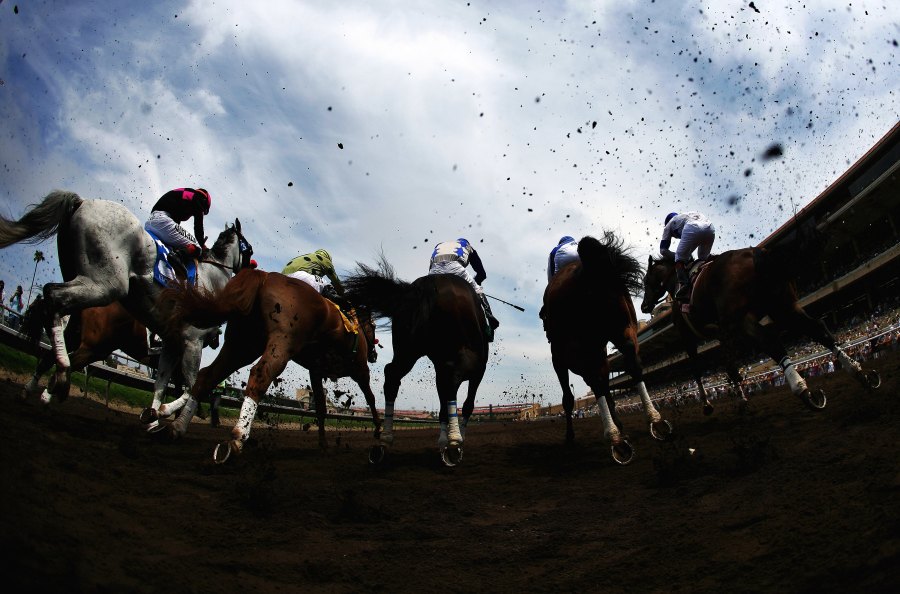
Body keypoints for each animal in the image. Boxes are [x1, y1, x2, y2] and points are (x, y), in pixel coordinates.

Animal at [0, 192, 255, 432]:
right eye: (249, 249)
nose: (251, 265)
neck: (212, 278)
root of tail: (82, 201)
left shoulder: (172, 342)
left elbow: (161, 385)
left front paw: (152, 417)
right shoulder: (192, 341)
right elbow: (193, 388)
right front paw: (164, 414)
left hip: (79, 294)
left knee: (51, 319)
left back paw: (38, 389)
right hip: (106, 288)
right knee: (53, 297)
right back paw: (60, 376)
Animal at [160, 266, 382, 460]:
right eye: (373, 327)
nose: (374, 355)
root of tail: (265, 277)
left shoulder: (316, 371)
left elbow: (320, 405)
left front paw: (323, 444)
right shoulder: (361, 370)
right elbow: (371, 399)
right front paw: (379, 432)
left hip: (242, 345)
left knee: (208, 376)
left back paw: (177, 426)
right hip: (283, 341)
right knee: (261, 373)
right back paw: (238, 437)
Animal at [344, 260, 488, 468]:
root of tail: (425, 287)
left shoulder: (440, 369)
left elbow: (443, 404)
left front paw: (443, 442)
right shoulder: (477, 368)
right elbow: (466, 404)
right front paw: (453, 442)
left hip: (407, 350)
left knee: (392, 375)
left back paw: (384, 441)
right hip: (462, 358)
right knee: (453, 380)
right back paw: (455, 443)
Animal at [540, 234, 668, 464]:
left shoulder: (561, 358)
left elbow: (569, 398)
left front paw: (570, 437)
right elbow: (606, 389)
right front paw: (620, 426)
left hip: (580, 345)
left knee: (597, 382)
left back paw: (615, 438)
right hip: (624, 329)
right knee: (633, 365)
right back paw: (654, 421)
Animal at [640, 246, 880, 412]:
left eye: (646, 280)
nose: (643, 306)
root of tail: (755, 253)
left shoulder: (689, 336)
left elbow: (698, 368)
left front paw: (708, 404)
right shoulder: (723, 334)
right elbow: (731, 367)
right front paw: (742, 400)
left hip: (746, 319)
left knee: (770, 341)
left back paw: (804, 390)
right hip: (784, 307)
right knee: (817, 328)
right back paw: (858, 372)